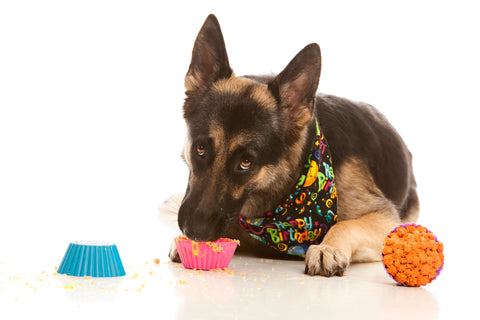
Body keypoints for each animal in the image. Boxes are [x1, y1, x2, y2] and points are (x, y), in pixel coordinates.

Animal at [167, 13, 418, 276]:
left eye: (246, 162)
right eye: (200, 149)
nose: (194, 231)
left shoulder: (385, 218)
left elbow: (346, 225)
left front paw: (327, 248)